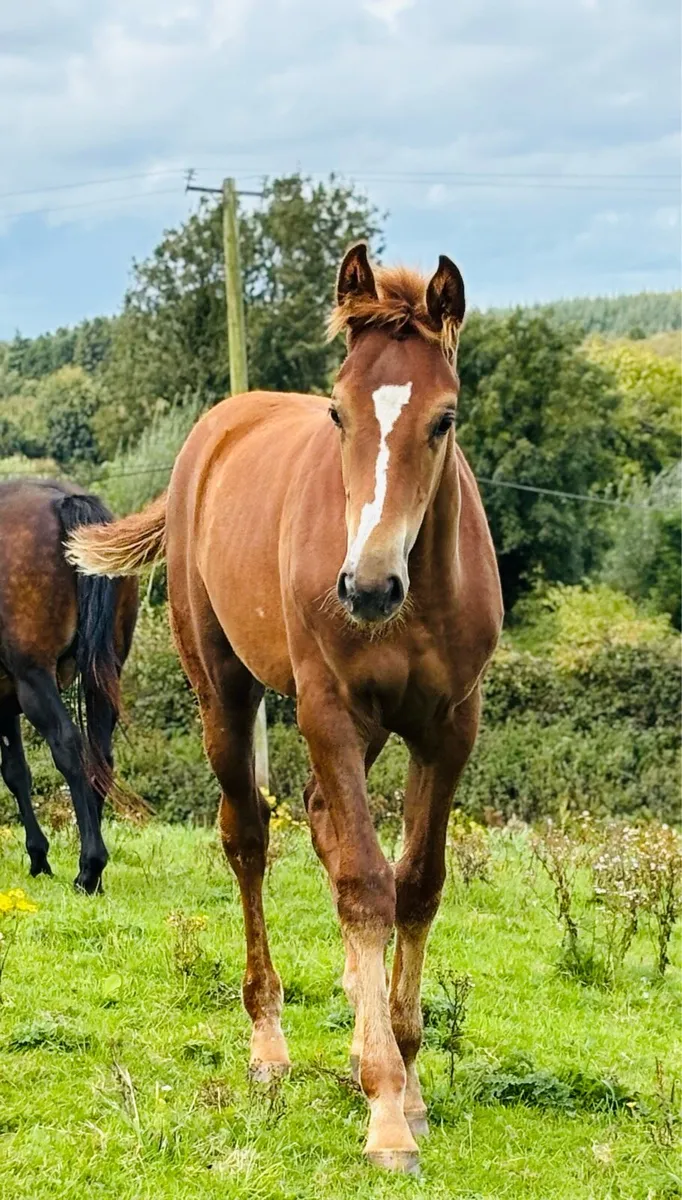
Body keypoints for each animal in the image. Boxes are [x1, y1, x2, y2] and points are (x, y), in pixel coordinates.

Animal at [0, 479, 139, 893]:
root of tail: (63, 499)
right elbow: (17, 771)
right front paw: (38, 856)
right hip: (104, 672)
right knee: (100, 753)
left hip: (35, 679)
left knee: (69, 745)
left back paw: (89, 867)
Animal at [66, 245, 503, 1173]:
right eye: (338, 413)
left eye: (444, 419)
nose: (366, 587)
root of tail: (214, 429)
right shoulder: (329, 713)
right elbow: (368, 885)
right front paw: (383, 1110)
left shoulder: (449, 727)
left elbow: (416, 884)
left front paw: (408, 1080)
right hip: (227, 694)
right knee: (250, 838)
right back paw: (268, 1042)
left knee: (321, 824)